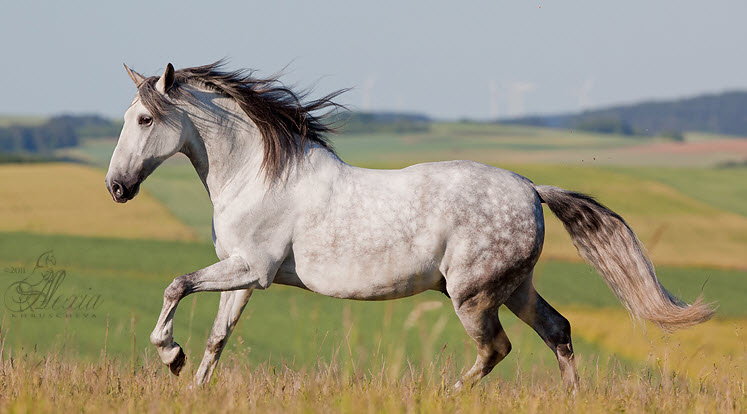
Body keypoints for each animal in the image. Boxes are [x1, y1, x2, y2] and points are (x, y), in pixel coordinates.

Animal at [105, 61, 714, 389]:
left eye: (145, 119)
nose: (116, 187)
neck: (258, 175)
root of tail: (531, 189)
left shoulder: (249, 267)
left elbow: (176, 286)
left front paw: (169, 355)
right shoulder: (245, 274)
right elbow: (218, 337)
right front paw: (191, 381)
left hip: (471, 295)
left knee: (496, 350)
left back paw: (448, 393)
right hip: (514, 287)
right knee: (558, 331)